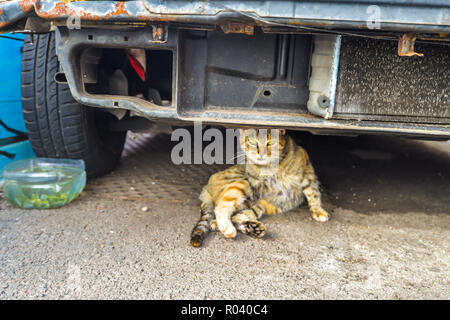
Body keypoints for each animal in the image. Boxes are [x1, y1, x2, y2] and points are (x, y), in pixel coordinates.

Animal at [191, 128, 330, 248]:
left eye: (270, 143)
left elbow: (313, 193)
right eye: (252, 142)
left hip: (258, 205)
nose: (261, 154)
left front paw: (318, 211)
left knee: (237, 216)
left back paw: (253, 228)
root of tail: (206, 188)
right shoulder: (253, 181)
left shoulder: (307, 173)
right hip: (243, 184)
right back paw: (227, 227)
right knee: (221, 207)